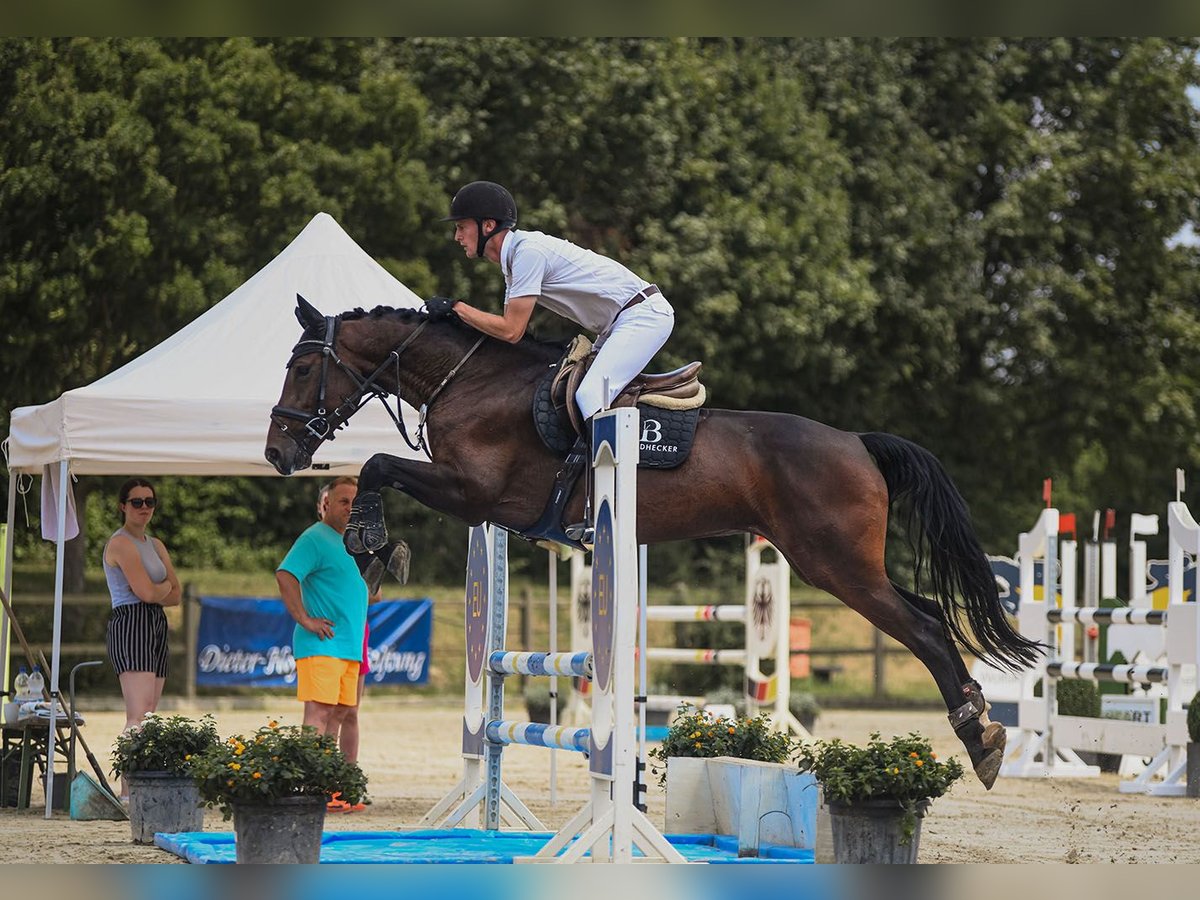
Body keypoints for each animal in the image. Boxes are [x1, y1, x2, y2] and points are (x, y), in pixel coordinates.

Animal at [265, 297, 1041, 787]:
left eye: (301, 369)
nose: (277, 452)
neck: (474, 383)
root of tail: (857, 442)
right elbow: (382, 470)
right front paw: (375, 550)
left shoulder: (479, 493)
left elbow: (377, 464)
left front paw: (369, 537)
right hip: (844, 562)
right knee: (932, 614)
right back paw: (981, 728)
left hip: (835, 565)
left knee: (924, 626)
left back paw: (981, 738)